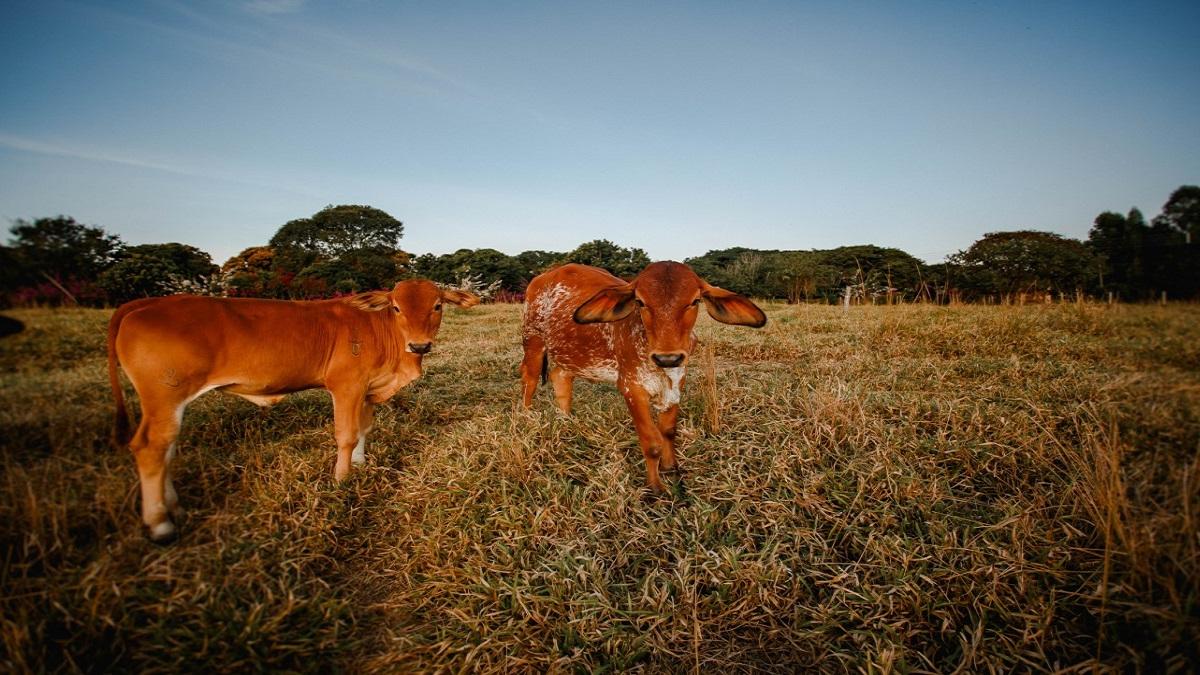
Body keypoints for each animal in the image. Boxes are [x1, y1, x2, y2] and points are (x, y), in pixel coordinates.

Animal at [107, 280, 479, 542]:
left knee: (166, 451)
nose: (420, 345)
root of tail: (147, 302)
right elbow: (346, 435)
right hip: (164, 399)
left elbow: (363, 429)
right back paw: (159, 524)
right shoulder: (346, 386)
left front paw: (360, 464)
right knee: (151, 449)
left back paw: (173, 508)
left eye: (437, 305)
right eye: (397, 307)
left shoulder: (366, 391)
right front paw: (342, 479)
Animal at [520, 262, 766, 493]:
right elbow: (651, 442)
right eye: (640, 302)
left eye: (695, 301)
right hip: (533, 341)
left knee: (560, 377)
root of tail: (544, 276)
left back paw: (566, 421)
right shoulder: (632, 388)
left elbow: (668, 431)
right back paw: (527, 417)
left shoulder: (677, 382)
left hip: (569, 354)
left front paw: (671, 468)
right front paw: (655, 488)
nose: (668, 357)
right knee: (529, 379)